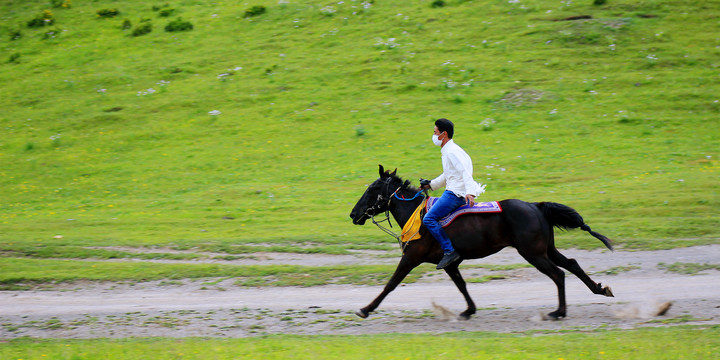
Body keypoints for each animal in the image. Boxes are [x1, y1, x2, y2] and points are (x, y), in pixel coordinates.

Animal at [348, 166, 612, 320]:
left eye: (372, 188)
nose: (353, 214)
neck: (418, 216)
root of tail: (536, 206)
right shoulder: (450, 263)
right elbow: (461, 285)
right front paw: (469, 310)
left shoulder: (411, 257)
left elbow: (391, 284)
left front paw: (366, 309)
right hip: (547, 249)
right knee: (572, 264)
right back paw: (600, 289)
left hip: (533, 253)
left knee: (558, 274)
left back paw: (559, 312)